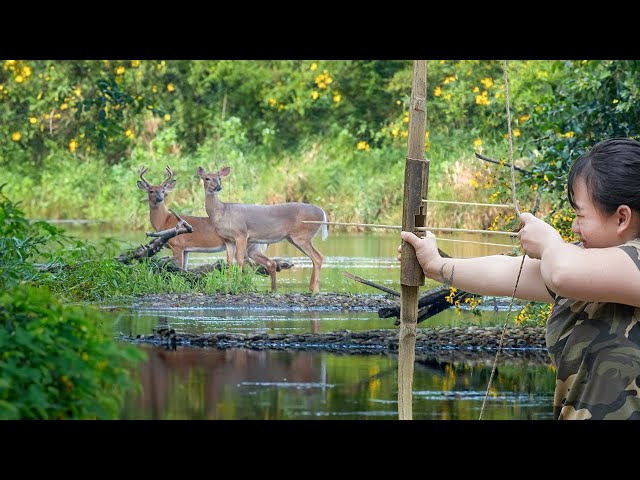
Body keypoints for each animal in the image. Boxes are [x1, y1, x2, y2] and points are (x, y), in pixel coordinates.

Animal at [138, 165, 270, 270]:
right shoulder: (186, 249)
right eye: (151, 191)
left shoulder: (177, 245)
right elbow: (184, 268)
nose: (159, 198)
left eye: (163, 190)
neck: (164, 221)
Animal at [196, 165, 328, 292]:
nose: (218, 187)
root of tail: (322, 212)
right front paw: (227, 287)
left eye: (219, 178)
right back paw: (311, 288)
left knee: (318, 257)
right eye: (207, 178)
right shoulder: (228, 240)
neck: (222, 212)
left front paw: (237, 286)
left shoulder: (241, 234)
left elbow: (239, 260)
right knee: (314, 258)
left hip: (302, 236)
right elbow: (229, 263)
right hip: (293, 238)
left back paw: (315, 290)